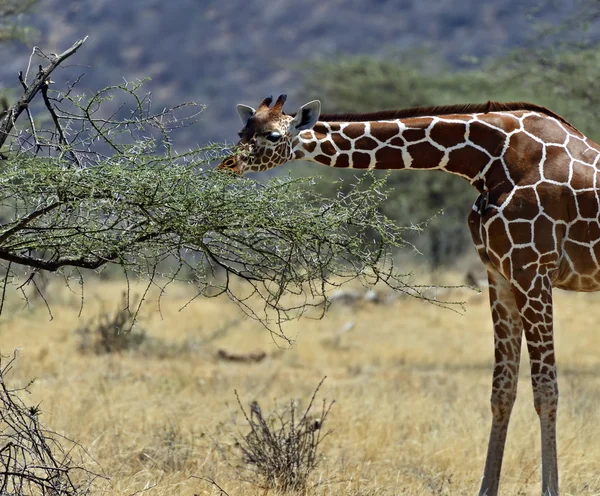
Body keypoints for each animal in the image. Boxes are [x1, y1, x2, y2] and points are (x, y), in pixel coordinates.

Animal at [216, 94, 600, 496]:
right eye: (242, 131)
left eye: (273, 136)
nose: (228, 164)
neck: (489, 161)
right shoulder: (500, 274)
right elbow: (502, 390)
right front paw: (486, 489)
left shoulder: (533, 269)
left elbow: (546, 390)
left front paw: (551, 491)